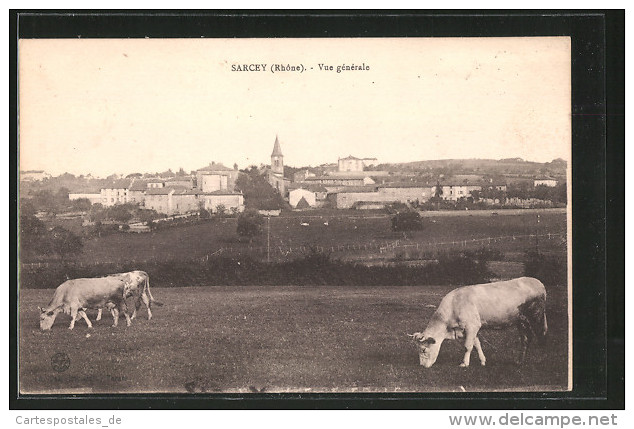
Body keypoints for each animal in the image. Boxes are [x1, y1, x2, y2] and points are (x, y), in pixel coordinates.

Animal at [408, 278, 544, 368]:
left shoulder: (472, 325)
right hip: (521, 321)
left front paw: (464, 363)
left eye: (423, 350)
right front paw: (483, 361)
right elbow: (476, 344)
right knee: (526, 338)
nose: (422, 366)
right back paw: (519, 361)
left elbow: (468, 346)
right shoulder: (471, 328)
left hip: (536, 316)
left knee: (540, 335)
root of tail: (537, 282)